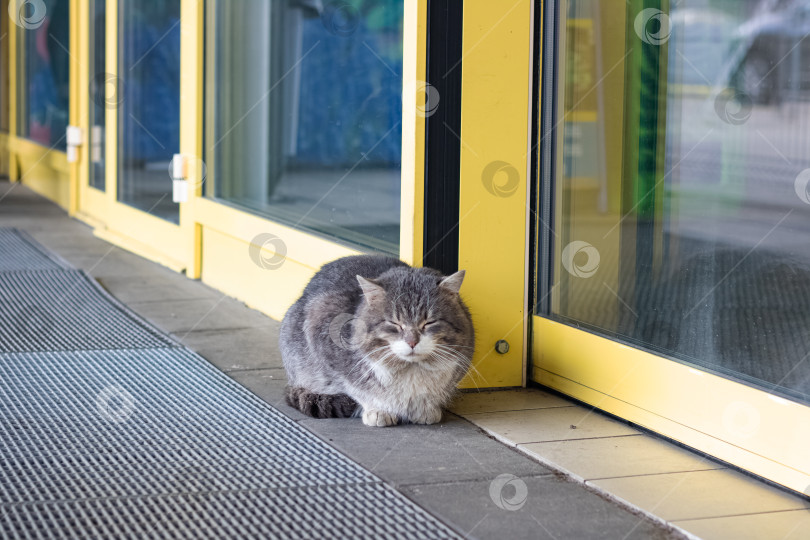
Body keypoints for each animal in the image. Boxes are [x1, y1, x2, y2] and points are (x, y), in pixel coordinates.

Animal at [280, 255, 474, 428]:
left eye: (429, 322)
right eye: (395, 323)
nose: (412, 342)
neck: (410, 369)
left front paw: (425, 408)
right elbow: (355, 388)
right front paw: (378, 410)